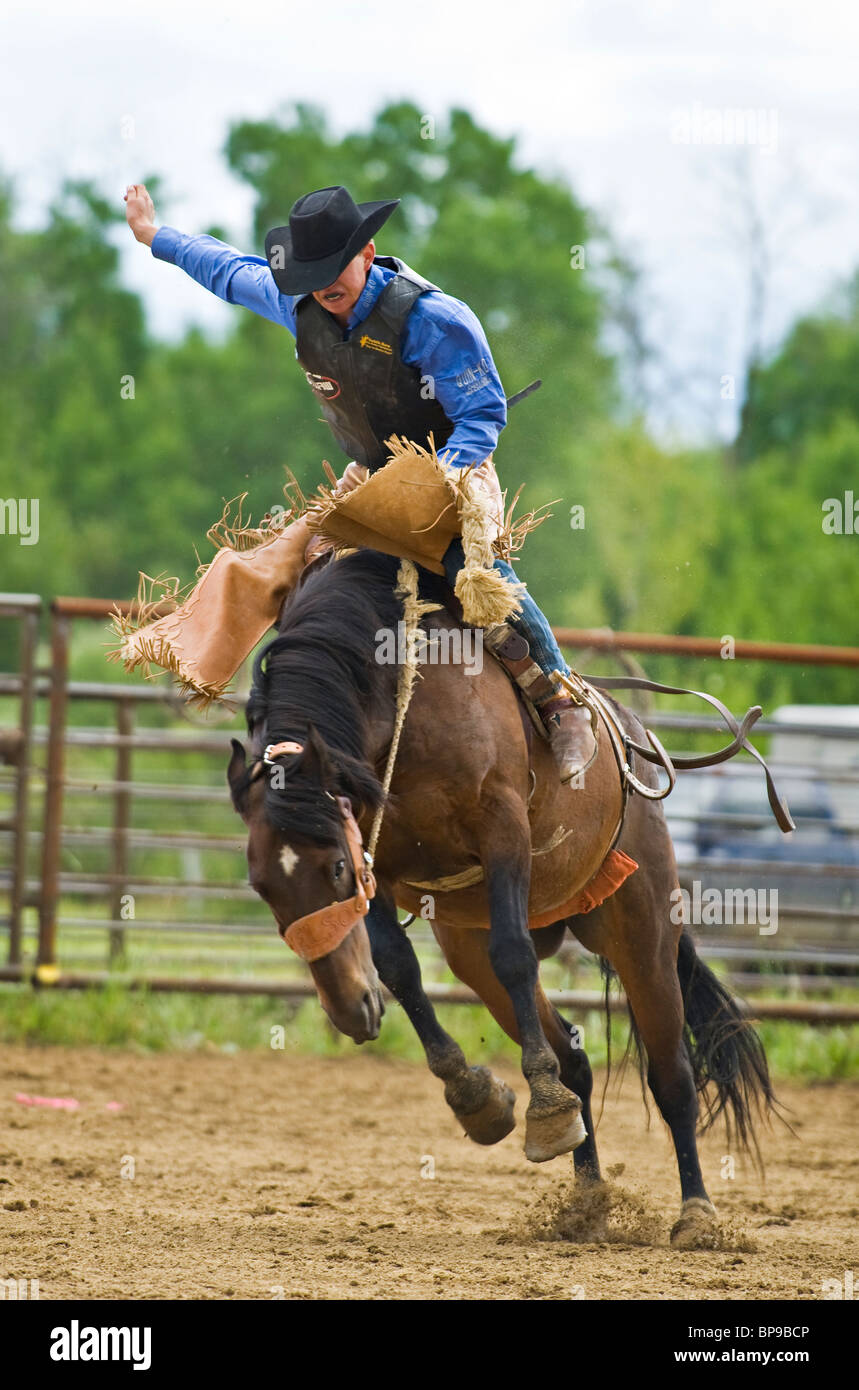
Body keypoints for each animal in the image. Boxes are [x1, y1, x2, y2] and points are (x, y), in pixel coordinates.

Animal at [225, 547, 767, 1245]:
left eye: (338, 868)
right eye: (263, 887)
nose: (347, 1010)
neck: (401, 696)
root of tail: (633, 743)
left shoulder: (501, 828)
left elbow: (513, 953)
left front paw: (529, 1109)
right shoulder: (382, 858)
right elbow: (399, 967)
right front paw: (478, 1099)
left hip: (642, 925)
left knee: (671, 1074)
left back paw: (695, 1214)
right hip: (468, 946)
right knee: (571, 1055)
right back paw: (583, 1198)